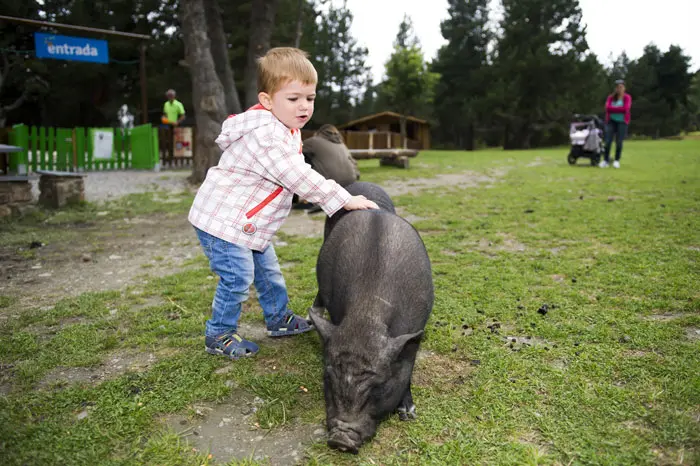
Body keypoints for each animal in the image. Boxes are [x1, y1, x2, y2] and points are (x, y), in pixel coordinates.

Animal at [310, 182, 434, 456]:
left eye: (378, 385)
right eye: (328, 377)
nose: (341, 440)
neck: (368, 313)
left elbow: (407, 369)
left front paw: (408, 414)